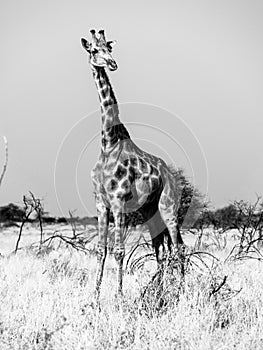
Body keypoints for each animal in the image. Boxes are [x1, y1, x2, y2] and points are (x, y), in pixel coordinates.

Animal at [81, 29, 186, 298]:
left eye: (109, 48)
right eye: (94, 50)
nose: (112, 63)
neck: (108, 142)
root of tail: (170, 174)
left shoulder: (118, 200)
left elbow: (119, 251)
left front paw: (118, 296)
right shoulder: (101, 203)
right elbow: (101, 250)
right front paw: (95, 297)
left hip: (168, 207)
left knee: (178, 246)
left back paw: (182, 292)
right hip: (150, 211)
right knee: (160, 249)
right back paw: (159, 292)